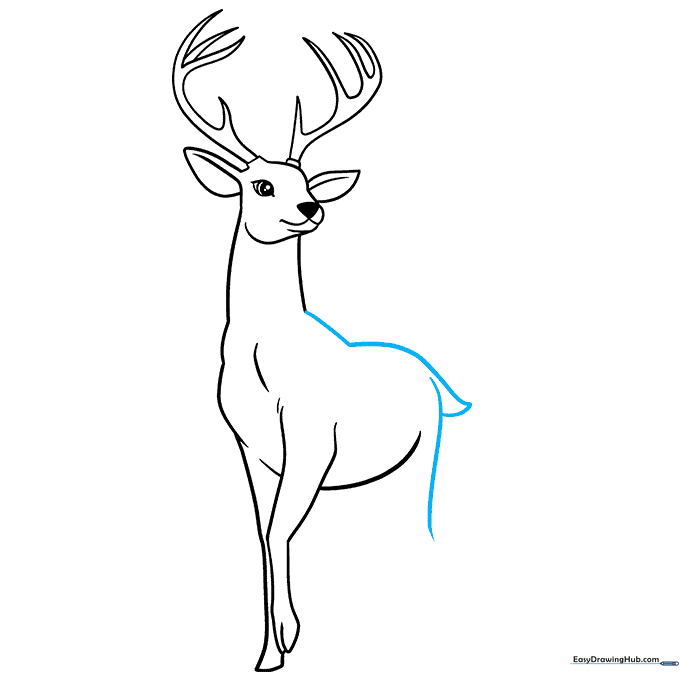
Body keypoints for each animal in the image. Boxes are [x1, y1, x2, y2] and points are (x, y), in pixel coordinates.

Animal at [172, 11, 471, 672]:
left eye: (307, 179)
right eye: (260, 185)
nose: (311, 207)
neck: (262, 358)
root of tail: (439, 382)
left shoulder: (312, 440)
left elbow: (281, 529)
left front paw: (282, 642)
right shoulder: (251, 446)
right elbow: (264, 533)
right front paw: (272, 646)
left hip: (428, 452)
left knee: (424, 517)